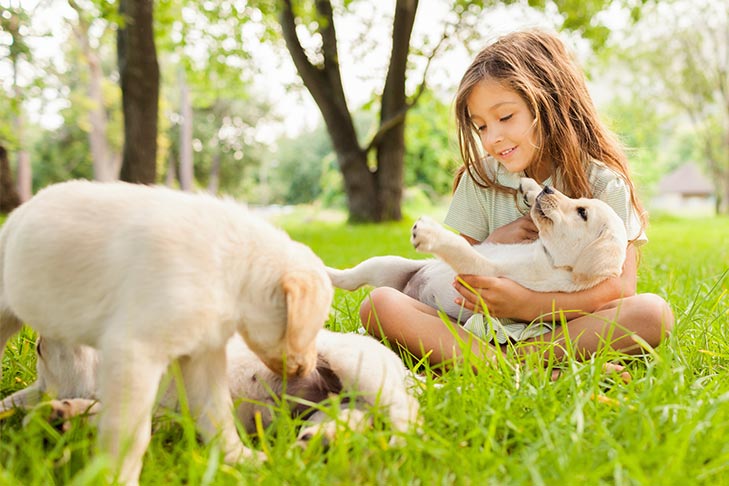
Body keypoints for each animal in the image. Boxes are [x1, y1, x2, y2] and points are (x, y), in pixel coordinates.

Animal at [0, 180, 332, 484]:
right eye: (314, 326)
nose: (310, 370)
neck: (232, 268)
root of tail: (18, 214)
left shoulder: (202, 355)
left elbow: (218, 414)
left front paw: (241, 459)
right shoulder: (135, 351)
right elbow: (130, 433)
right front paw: (119, 477)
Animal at [328, 178, 628, 322]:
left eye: (582, 213)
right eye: (579, 200)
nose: (547, 188)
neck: (547, 255)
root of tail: (407, 290)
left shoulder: (482, 272)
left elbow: (461, 247)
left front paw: (430, 233)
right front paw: (530, 187)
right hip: (387, 263)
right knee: (350, 278)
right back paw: (323, 271)